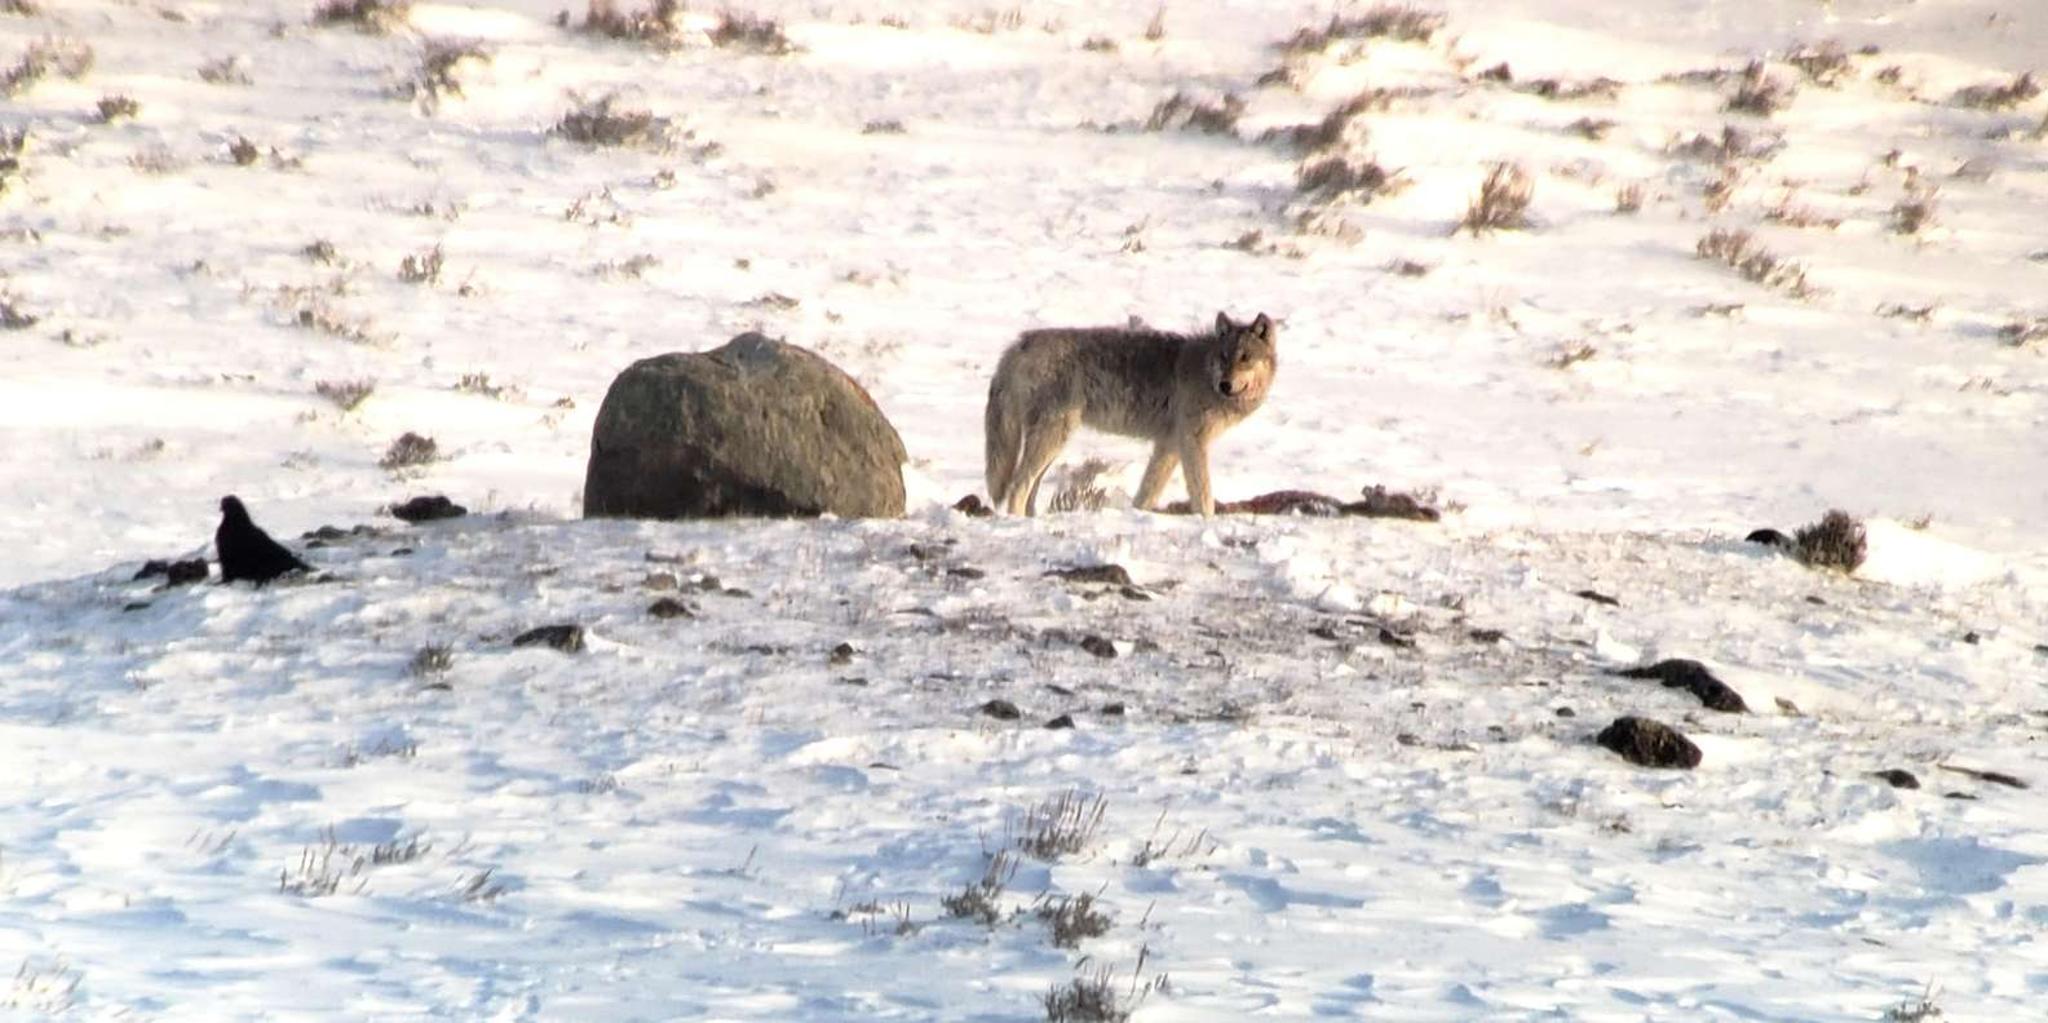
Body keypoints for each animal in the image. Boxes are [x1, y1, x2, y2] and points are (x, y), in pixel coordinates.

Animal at [984, 311, 1277, 518]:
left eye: (1245, 357)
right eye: (1224, 357)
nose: (1225, 384)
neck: (1205, 372)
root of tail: (1018, 344)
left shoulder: (1169, 446)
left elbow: (1146, 494)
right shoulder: (1192, 443)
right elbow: (1203, 497)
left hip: (1053, 442)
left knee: (1029, 487)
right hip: (1052, 437)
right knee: (1018, 485)